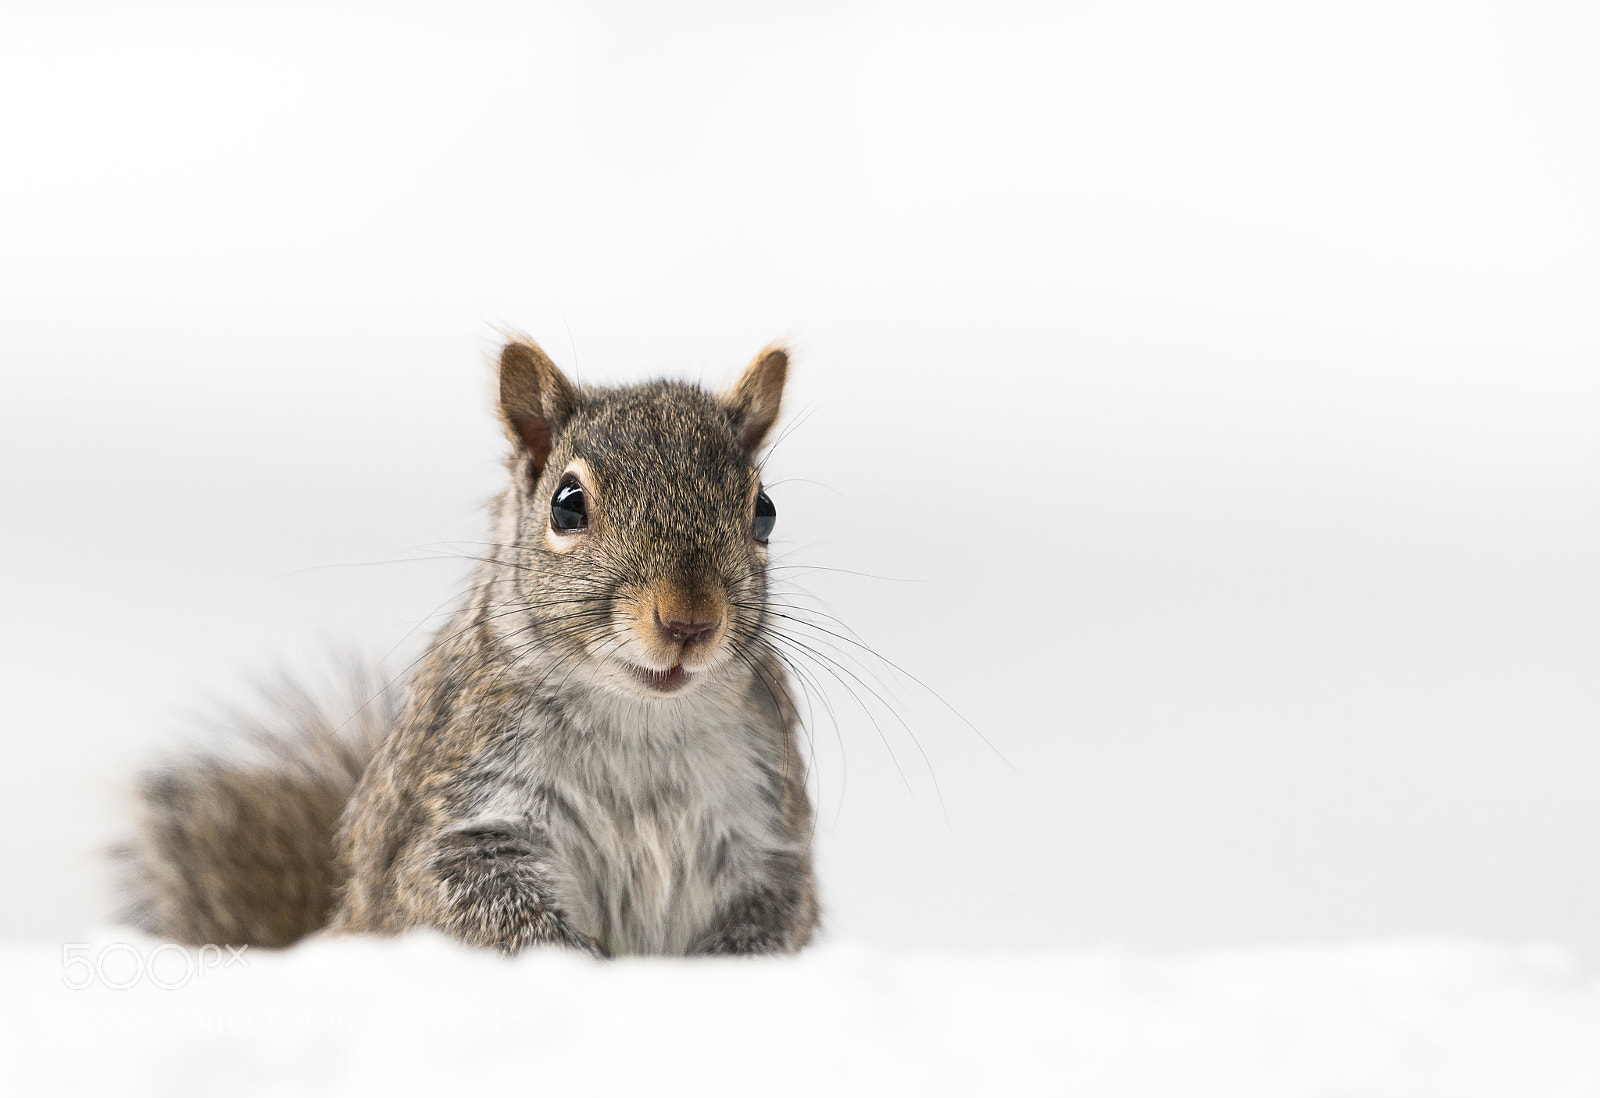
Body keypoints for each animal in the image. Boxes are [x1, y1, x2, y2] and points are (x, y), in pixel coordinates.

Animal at [115, 338, 820, 957]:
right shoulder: (460, 807)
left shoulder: (764, 829)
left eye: (764, 512)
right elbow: (476, 902)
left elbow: (779, 910)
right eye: (568, 505)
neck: (640, 715)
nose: (689, 621)